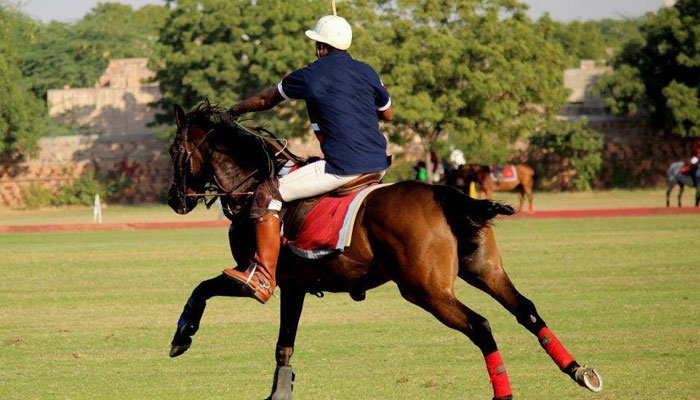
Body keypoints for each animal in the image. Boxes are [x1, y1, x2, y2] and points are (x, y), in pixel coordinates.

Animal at [166, 101, 602, 399]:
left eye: (173, 151)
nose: (174, 201)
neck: (252, 183)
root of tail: (445, 193)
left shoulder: (259, 277)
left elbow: (202, 288)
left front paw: (182, 336)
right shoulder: (295, 287)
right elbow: (284, 346)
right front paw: (279, 392)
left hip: (425, 290)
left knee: (481, 325)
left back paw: (505, 393)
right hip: (483, 269)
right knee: (525, 308)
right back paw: (579, 371)